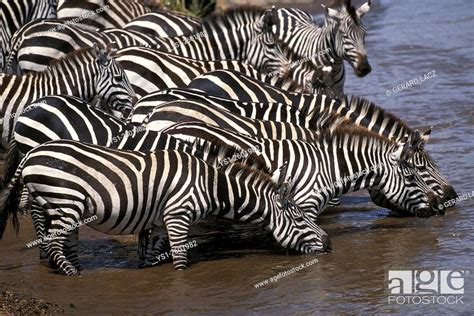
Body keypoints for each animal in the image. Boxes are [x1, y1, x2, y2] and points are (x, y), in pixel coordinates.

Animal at [0, 139, 332, 276]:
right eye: (299, 217)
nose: (329, 245)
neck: (212, 185)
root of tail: (30, 154)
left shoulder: (159, 221)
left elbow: (150, 258)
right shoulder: (177, 215)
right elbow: (181, 259)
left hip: (53, 206)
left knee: (58, 246)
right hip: (64, 202)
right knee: (54, 246)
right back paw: (74, 276)